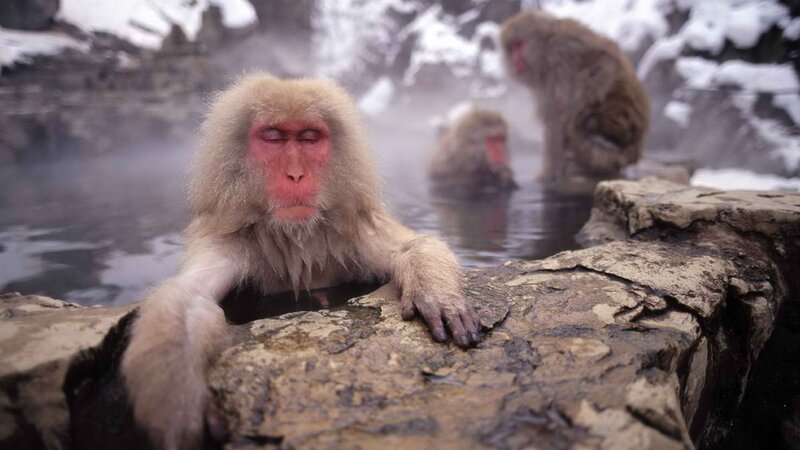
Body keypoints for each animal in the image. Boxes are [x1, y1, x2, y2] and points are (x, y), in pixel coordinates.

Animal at [120, 73, 482, 450]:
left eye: (309, 138)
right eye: (273, 138)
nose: (295, 175)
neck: (295, 238)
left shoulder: (353, 232)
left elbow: (412, 245)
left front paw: (436, 295)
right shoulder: (224, 243)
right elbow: (188, 299)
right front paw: (182, 409)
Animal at [500, 11, 650, 181]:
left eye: (519, 45)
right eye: (511, 48)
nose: (514, 59)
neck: (544, 51)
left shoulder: (563, 46)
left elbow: (605, 57)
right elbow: (551, 116)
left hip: (622, 128)